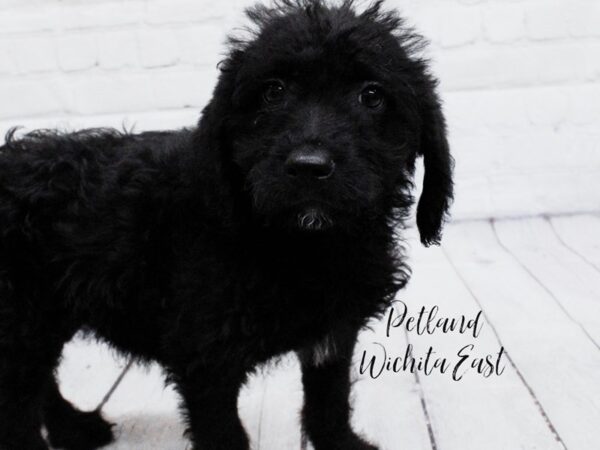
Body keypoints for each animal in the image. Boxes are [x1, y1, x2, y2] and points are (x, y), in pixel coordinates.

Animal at [0, 0, 450, 450]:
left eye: (371, 95)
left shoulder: (333, 334)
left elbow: (330, 402)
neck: (299, 244)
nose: (309, 166)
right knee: (19, 404)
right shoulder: (204, 359)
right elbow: (223, 432)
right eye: (273, 91)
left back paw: (73, 427)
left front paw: (342, 443)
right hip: (24, 321)